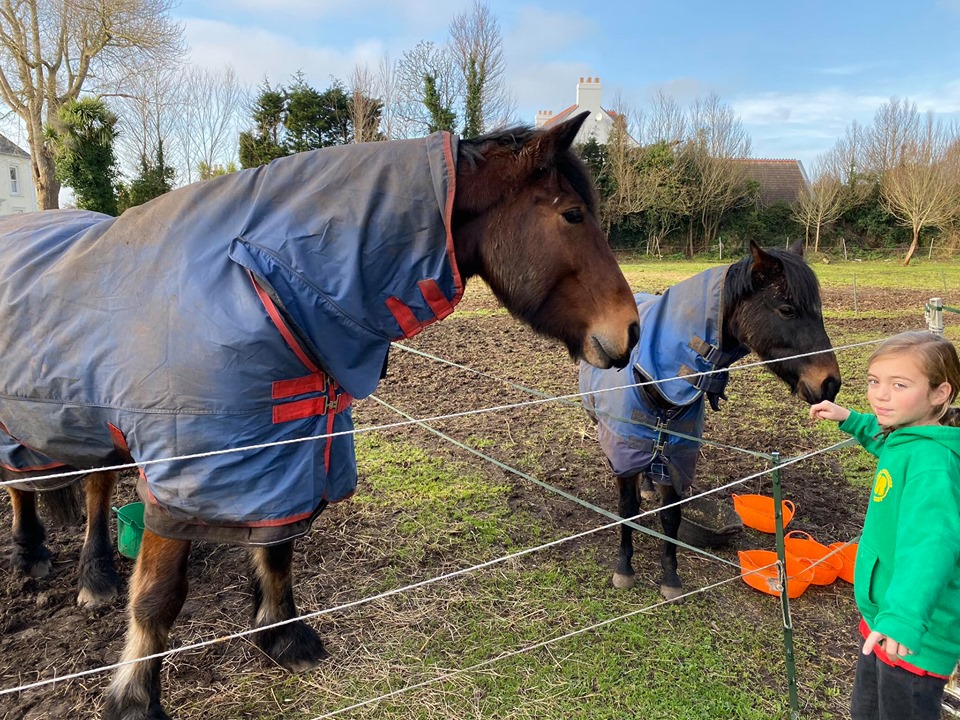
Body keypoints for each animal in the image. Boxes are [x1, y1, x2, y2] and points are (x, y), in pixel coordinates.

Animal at [0, 111, 640, 720]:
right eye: (573, 214)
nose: (630, 330)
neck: (259, 279)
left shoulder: (287, 448)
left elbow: (278, 549)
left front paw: (283, 639)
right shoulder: (186, 471)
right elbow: (159, 596)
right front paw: (135, 702)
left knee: (90, 483)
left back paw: (92, 576)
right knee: (28, 486)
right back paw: (34, 556)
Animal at [579, 241, 841, 601]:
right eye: (787, 309)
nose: (831, 383)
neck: (655, 378)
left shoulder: (678, 455)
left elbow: (671, 516)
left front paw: (670, 577)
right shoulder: (624, 449)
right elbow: (626, 509)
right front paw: (624, 569)